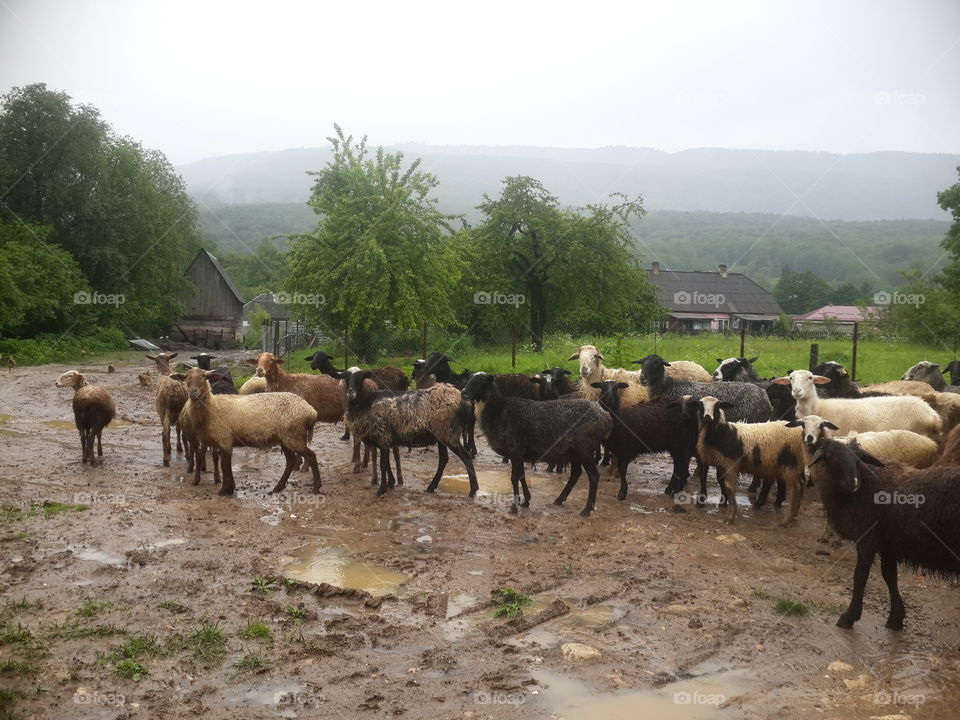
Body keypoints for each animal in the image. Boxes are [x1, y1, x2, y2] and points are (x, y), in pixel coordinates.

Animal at [172, 368, 320, 494]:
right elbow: (225, 465)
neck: (213, 408)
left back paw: (316, 487)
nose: (193, 392)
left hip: (293, 436)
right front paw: (230, 488)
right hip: (286, 438)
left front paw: (224, 489)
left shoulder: (225, 440)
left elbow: (225, 465)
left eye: (204, 377)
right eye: (186, 378)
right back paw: (278, 487)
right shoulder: (224, 442)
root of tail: (311, 412)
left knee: (311, 456)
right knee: (291, 461)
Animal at [340, 369, 477, 497]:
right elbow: (387, 463)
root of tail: (461, 399)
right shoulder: (386, 439)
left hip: (448, 433)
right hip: (441, 435)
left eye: (361, 378)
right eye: (346, 378)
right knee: (444, 459)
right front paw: (391, 483)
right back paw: (431, 487)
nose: (351, 393)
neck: (367, 402)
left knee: (466, 457)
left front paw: (382, 489)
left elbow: (383, 464)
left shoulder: (383, 436)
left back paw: (473, 490)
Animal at [461, 371, 612, 516]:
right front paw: (526, 501)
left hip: (585, 449)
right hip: (574, 452)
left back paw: (587, 509)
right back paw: (560, 499)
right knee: (576, 473)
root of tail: (604, 416)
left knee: (594, 476)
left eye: (481, 381)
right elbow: (522, 476)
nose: (463, 392)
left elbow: (514, 478)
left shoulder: (515, 452)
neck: (499, 411)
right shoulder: (519, 454)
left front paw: (514, 507)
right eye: (469, 378)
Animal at [690, 396, 805, 525]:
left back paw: (787, 518)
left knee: (797, 486)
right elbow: (721, 482)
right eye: (700, 405)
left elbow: (730, 488)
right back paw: (790, 512)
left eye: (717, 406)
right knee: (793, 484)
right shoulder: (721, 463)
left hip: (790, 464)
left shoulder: (731, 464)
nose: (707, 417)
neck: (722, 433)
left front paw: (730, 516)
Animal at [808, 437, 960, 630]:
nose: (853, 483)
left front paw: (849, 616)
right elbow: (890, 576)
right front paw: (896, 618)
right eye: (832, 457)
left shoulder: (868, 538)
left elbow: (860, 576)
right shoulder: (888, 542)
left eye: (858, 460)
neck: (865, 487)